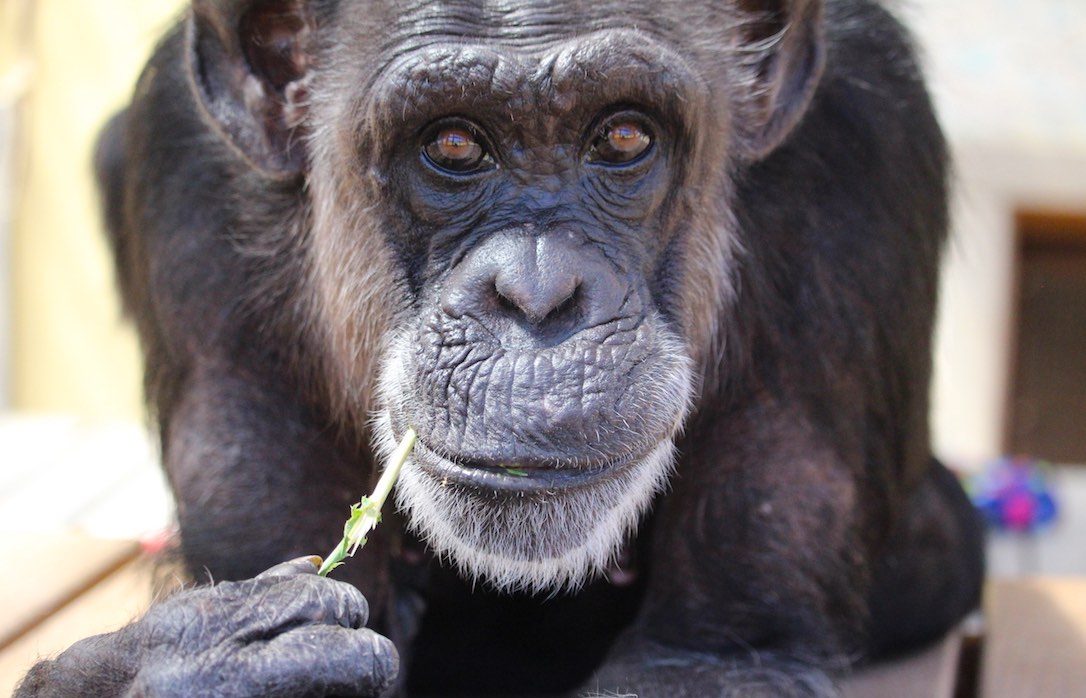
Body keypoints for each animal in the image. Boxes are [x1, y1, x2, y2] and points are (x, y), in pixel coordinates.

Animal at [17, 0, 984, 696]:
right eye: (453, 145)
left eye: (623, 136)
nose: (538, 294)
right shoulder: (189, 179)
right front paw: (185, 665)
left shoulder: (862, 156)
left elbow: (710, 661)